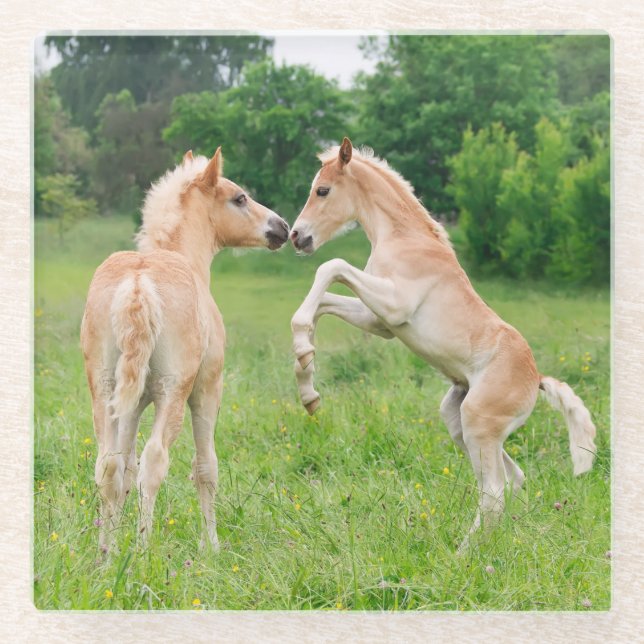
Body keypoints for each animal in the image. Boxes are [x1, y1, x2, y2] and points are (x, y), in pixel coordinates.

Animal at [80, 148, 289, 552]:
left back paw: (105, 555)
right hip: (173, 392)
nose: (282, 227)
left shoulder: (132, 404)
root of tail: (138, 283)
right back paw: (143, 551)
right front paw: (213, 547)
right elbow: (205, 467)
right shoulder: (207, 390)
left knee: (108, 465)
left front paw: (115, 537)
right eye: (239, 198)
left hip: (105, 391)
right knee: (155, 461)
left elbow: (124, 469)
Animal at [289, 137, 596, 549]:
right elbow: (323, 302)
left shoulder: (394, 305)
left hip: (478, 422)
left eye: (322, 190)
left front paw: (305, 359)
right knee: (510, 480)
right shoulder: (380, 320)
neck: (404, 238)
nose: (297, 236)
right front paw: (307, 378)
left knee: (494, 492)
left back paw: (463, 554)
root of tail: (537, 380)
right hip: (460, 420)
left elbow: (331, 268)